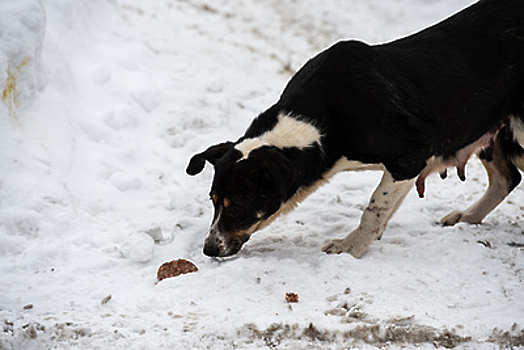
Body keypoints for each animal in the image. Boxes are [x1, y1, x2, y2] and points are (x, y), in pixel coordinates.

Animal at [188, 0, 524, 258]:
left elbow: (375, 208)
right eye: (213, 201)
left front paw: (351, 247)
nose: (209, 249)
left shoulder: (409, 155)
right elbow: (386, 208)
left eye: (238, 205)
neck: (323, 123)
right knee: (507, 178)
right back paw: (467, 217)